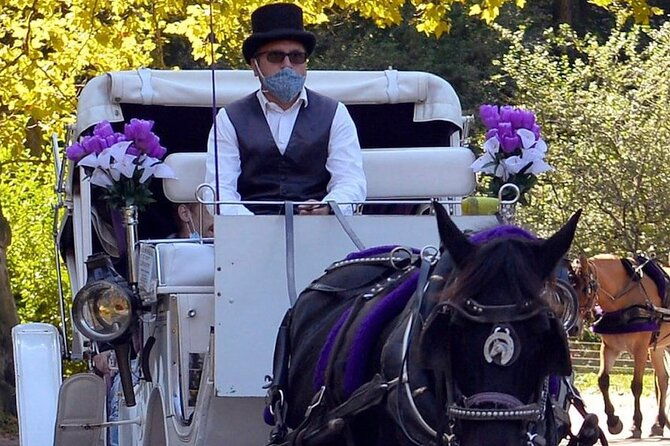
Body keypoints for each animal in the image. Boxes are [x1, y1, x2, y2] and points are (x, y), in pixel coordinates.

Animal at [571, 254, 670, 438]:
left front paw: (636, 424)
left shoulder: (640, 348)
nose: (573, 327)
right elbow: (602, 380)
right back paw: (659, 423)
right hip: (659, 347)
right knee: (663, 380)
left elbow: (636, 386)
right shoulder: (610, 347)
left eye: (585, 289)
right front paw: (613, 421)